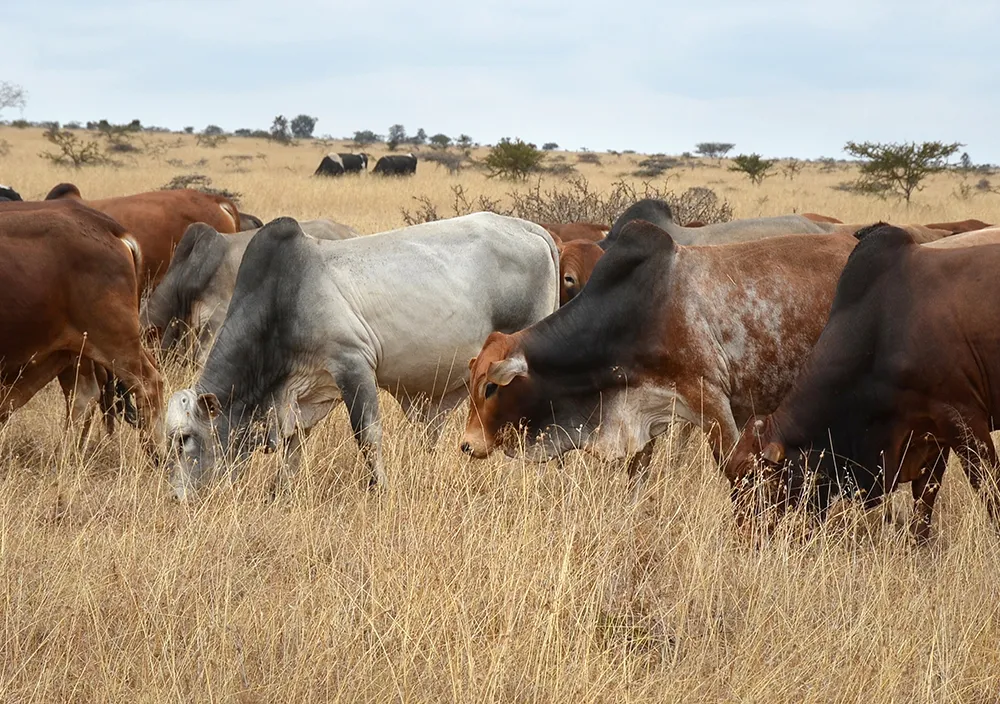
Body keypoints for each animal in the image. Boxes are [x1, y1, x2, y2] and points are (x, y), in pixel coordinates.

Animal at [165, 212, 560, 500]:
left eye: (185, 438)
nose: (174, 497)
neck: (281, 299)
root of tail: (531, 229)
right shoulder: (306, 391)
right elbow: (294, 446)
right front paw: (279, 492)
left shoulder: (353, 364)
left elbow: (367, 435)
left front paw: (379, 489)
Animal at [460, 221, 859, 499]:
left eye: (491, 387)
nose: (466, 444)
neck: (641, 313)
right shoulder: (647, 406)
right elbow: (637, 473)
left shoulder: (710, 399)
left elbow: (737, 470)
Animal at [730, 224, 1000, 543]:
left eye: (752, 478)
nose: (743, 539)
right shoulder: (930, 434)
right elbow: (924, 499)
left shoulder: (961, 419)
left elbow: (989, 490)